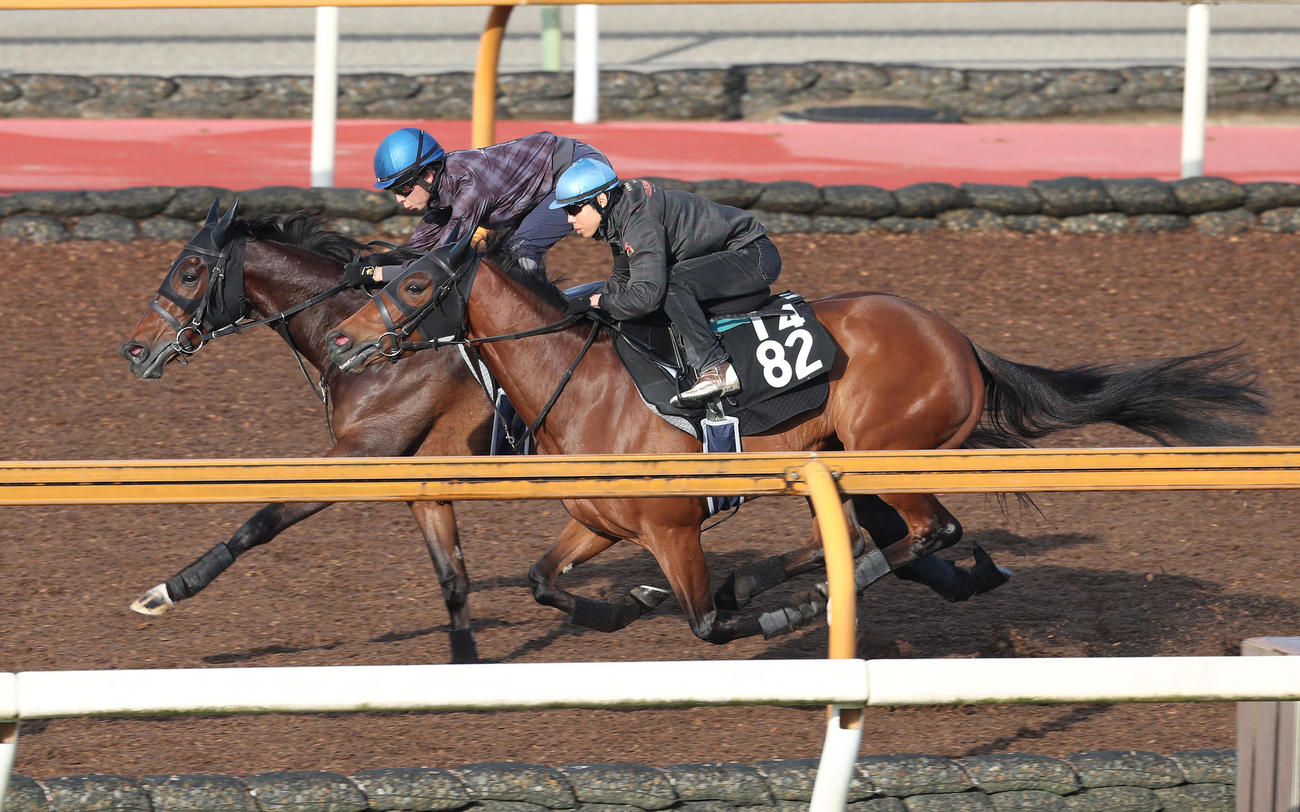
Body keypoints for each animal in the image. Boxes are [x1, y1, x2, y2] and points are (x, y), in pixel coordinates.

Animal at [324, 241, 1267, 644]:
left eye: (416, 285)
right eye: (381, 275)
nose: (339, 339)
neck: (579, 380)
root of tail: (959, 340)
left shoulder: (672, 528)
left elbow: (708, 623)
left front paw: (759, 607)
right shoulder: (601, 521)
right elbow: (543, 581)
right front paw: (622, 605)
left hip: (891, 452)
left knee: (931, 530)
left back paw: (804, 591)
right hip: (850, 459)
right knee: (880, 533)